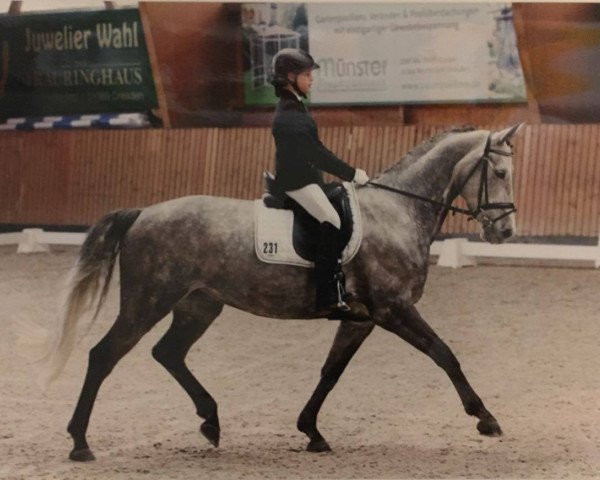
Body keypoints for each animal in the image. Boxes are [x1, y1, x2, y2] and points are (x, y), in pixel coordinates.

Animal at [47, 124, 524, 462]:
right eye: (500, 172)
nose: (504, 232)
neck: (398, 211)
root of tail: (143, 212)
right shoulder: (393, 310)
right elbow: (444, 354)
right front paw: (485, 418)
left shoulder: (363, 319)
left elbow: (330, 372)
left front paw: (311, 431)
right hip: (148, 301)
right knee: (104, 356)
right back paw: (80, 443)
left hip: (199, 305)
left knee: (168, 353)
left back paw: (211, 421)